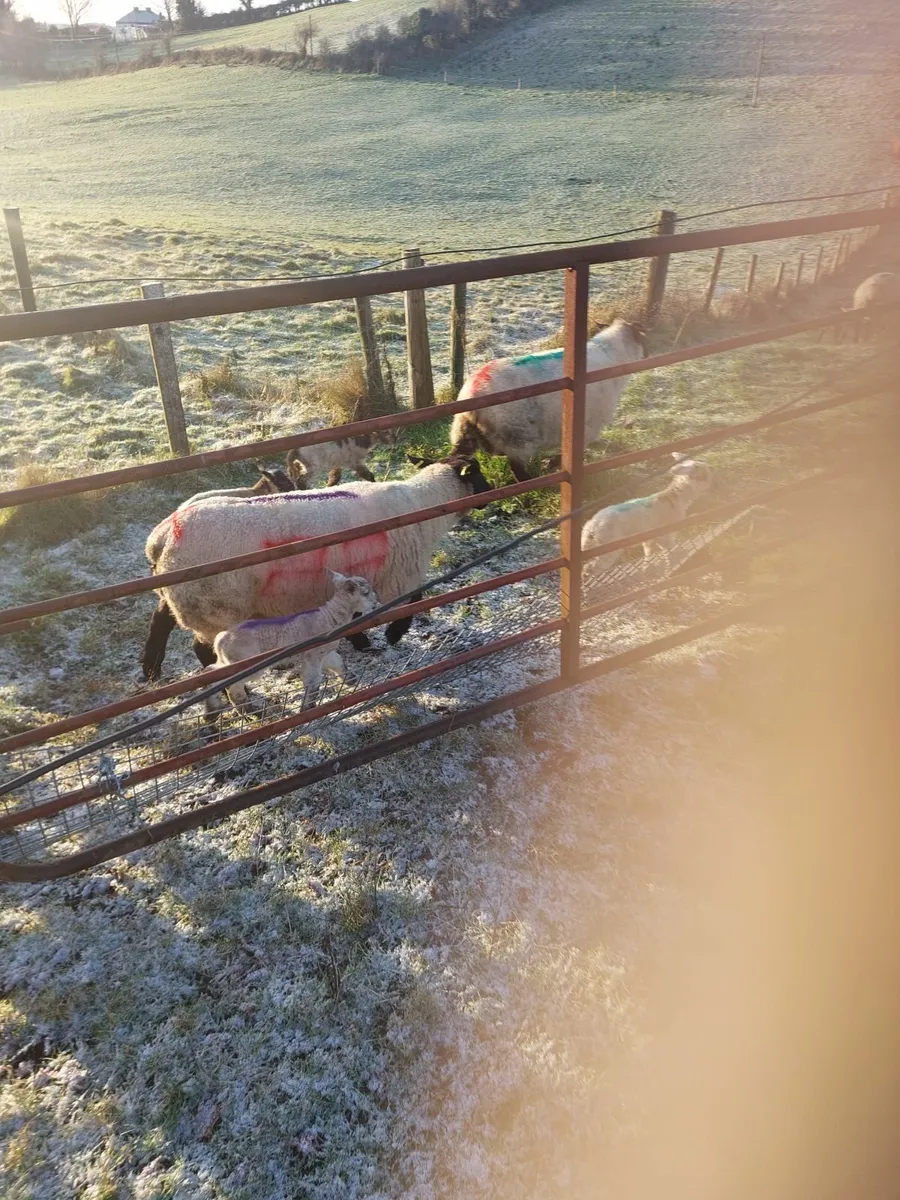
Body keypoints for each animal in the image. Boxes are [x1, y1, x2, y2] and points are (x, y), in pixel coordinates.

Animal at [139, 453, 491, 681]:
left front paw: (362, 642)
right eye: (476, 473)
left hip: (184, 599)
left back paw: (151, 670)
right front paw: (392, 635)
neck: (423, 505)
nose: (490, 494)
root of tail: (163, 537)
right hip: (214, 610)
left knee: (161, 621)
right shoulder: (400, 576)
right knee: (201, 649)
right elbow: (411, 604)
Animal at [206, 572, 379, 716]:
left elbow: (339, 663)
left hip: (229, 661)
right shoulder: (313, 655)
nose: (376, 601)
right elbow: (313, 680)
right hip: (245, 663)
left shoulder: (325, 652)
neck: (330, 617)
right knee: (231, 685)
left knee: (212, 672)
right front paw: (307, 708)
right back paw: (246, 710)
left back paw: (213, 710)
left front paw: (351, 681)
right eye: (366, 592)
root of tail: (221, 639)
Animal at [449, 318, 647, 482]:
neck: (611, 356)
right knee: (517, 469)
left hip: (464, 433)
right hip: (517, 438)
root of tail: (472, 394)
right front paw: (554, 463)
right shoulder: (588, 426)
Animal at [581, 456, 712, 574]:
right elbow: (669, 551)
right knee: (591, 569)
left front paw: (646, 569)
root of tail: (591, 527)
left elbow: (649, 553)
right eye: (702, 474)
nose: (712, 483)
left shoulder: (650, 537)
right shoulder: (666, 534)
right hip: (607, 546)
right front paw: (671, 567)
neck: (674, 499)